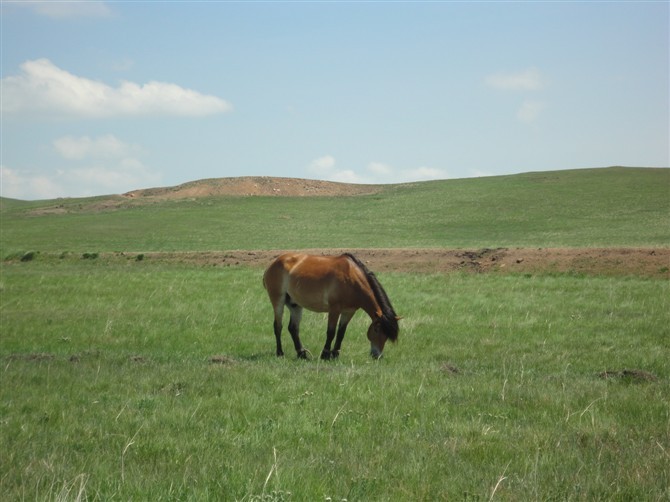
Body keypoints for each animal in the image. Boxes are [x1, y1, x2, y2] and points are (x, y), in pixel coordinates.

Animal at [262, 253, 400, 358]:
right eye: (376, 330)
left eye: (387, 335)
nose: (377, 355)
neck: (351, 277)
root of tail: (272, 264)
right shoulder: (334, 309)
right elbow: (331, 332)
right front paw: (325, 354)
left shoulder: (349, 311)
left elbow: (341, 333)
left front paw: (335, 354)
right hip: (278, 301)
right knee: (278, 326)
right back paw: (280, 352)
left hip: (295, 305)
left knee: (293, 328)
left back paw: (302, 354)